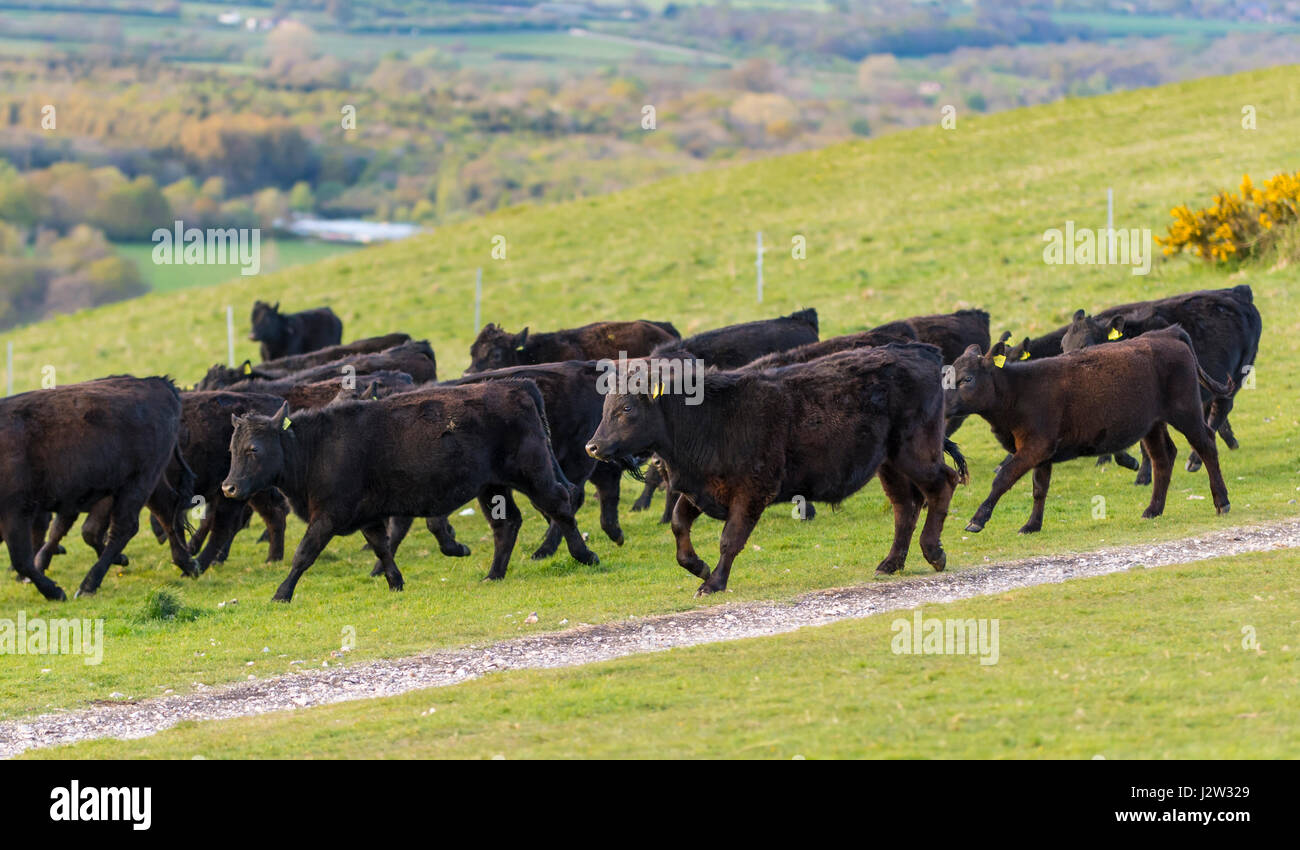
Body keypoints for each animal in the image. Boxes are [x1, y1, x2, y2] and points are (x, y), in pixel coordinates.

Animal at [0, 376, 198, 600]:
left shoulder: (15, 512)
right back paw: (187, 563)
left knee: (124, 527)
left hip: (139, 483)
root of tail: (158, 382)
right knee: (166, 509)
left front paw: (54, 591)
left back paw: (89, 584)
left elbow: (21, 561)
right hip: (148, 480)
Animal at [221, 380, 598, 602]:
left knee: (560, 504)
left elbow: (304, 554)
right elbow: (382, 547)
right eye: (232, 448)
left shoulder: (327, 516)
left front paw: (281, 593)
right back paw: (493, 575)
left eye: (253, 449)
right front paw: (395, 582)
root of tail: (517, 387)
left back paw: (585, 555)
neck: (316, 446)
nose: (229, 487)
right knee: (506, 525)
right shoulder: (367, 516)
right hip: (492, 486)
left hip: (533, 474)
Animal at [585, 344, 967, 595]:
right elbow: (679, 524)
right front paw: (698, 567)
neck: (709, 417)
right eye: (605, 408)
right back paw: (890, 563)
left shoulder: (752, 491)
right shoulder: (701, 488)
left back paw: (934, 552)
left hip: (915, 453)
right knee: (906, 506)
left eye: (627, 409)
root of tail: (921, 353)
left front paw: (714, 582)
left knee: (942, 485)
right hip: (889, 463)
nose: (593, 446)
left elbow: (730, 539)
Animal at [945, 325, 1232, 535]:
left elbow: (1004, 477)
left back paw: (1222, 502)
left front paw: (977, 519)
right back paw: (1153, 509)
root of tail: (1166, 333)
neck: (1018, 390)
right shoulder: (1043, 451)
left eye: (967, 379)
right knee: (1163, 456)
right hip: (1153, 422)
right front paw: (1032, 525)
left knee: (1206, 445)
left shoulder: (1035, 445)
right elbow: (1039, 488)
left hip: (1186, 411)